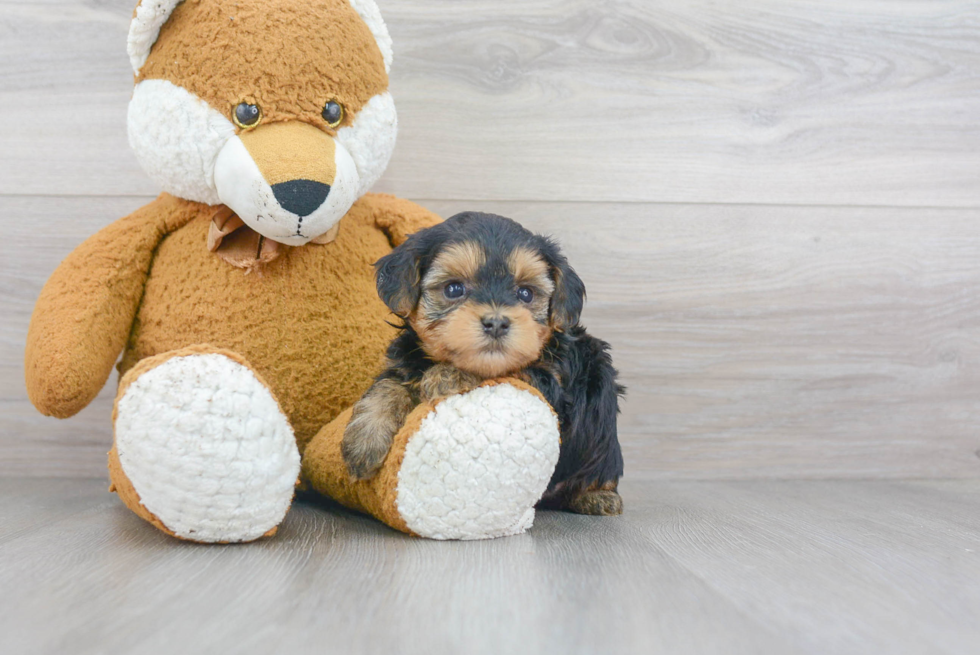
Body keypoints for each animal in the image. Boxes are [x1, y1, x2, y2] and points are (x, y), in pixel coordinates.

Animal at [340, 213, 624, 516]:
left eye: (525, 293)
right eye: (453, 289)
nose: (496, 322)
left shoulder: (554, 384)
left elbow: (503, 370)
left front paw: (448, 376)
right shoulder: (404, 361)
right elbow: (387, 385)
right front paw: (364, 441)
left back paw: (598, 497)